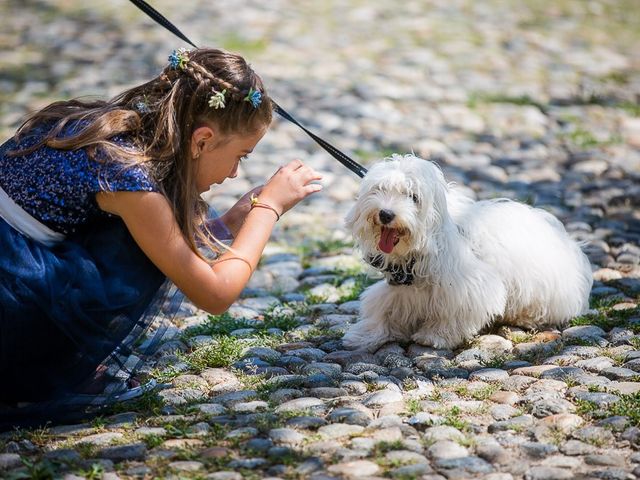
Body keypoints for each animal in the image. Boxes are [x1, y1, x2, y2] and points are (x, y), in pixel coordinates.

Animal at [342, 156, 592, 350]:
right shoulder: (399, 288)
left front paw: (436, 336)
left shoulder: (466, 287)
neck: (429, 241)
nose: (385, 214)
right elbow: (385, 308)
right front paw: (367, 334)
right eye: (379, 189)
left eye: (413, 197)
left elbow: (453, 313)